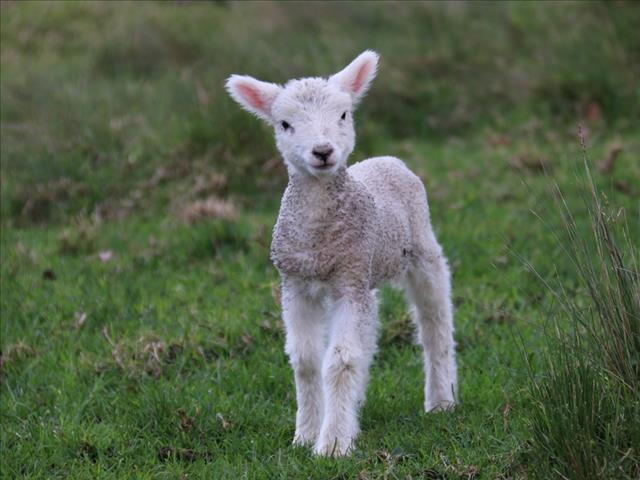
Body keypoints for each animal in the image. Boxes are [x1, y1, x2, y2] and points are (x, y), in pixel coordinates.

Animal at [225, 51, 457, 456]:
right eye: (284, 124)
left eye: (344, 115)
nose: (322, 151)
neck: (318, 238)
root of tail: (387, 159)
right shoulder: (296, 283)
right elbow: (306, 360)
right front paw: (305, 434)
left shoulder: (348, 282)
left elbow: (340, 360)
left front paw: (332, 444)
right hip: (366, 270)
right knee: (370, 330)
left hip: (420, 248)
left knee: (434, 321)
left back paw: (441, 399)